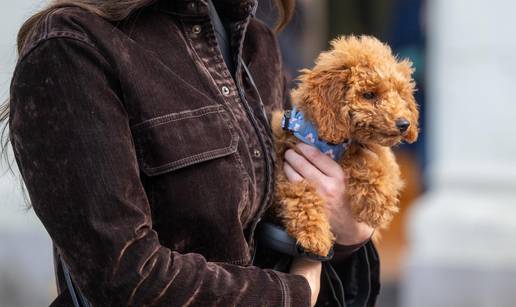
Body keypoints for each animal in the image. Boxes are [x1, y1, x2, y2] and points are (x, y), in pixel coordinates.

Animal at [270, 35, 420, 258]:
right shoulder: (288, 165)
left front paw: (377, 204)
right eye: (369, 95)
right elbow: (302, 194)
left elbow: (363, 158)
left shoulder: (384, 160)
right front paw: (314, 236)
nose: (404, 124)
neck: (331, 143)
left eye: (400, 94)